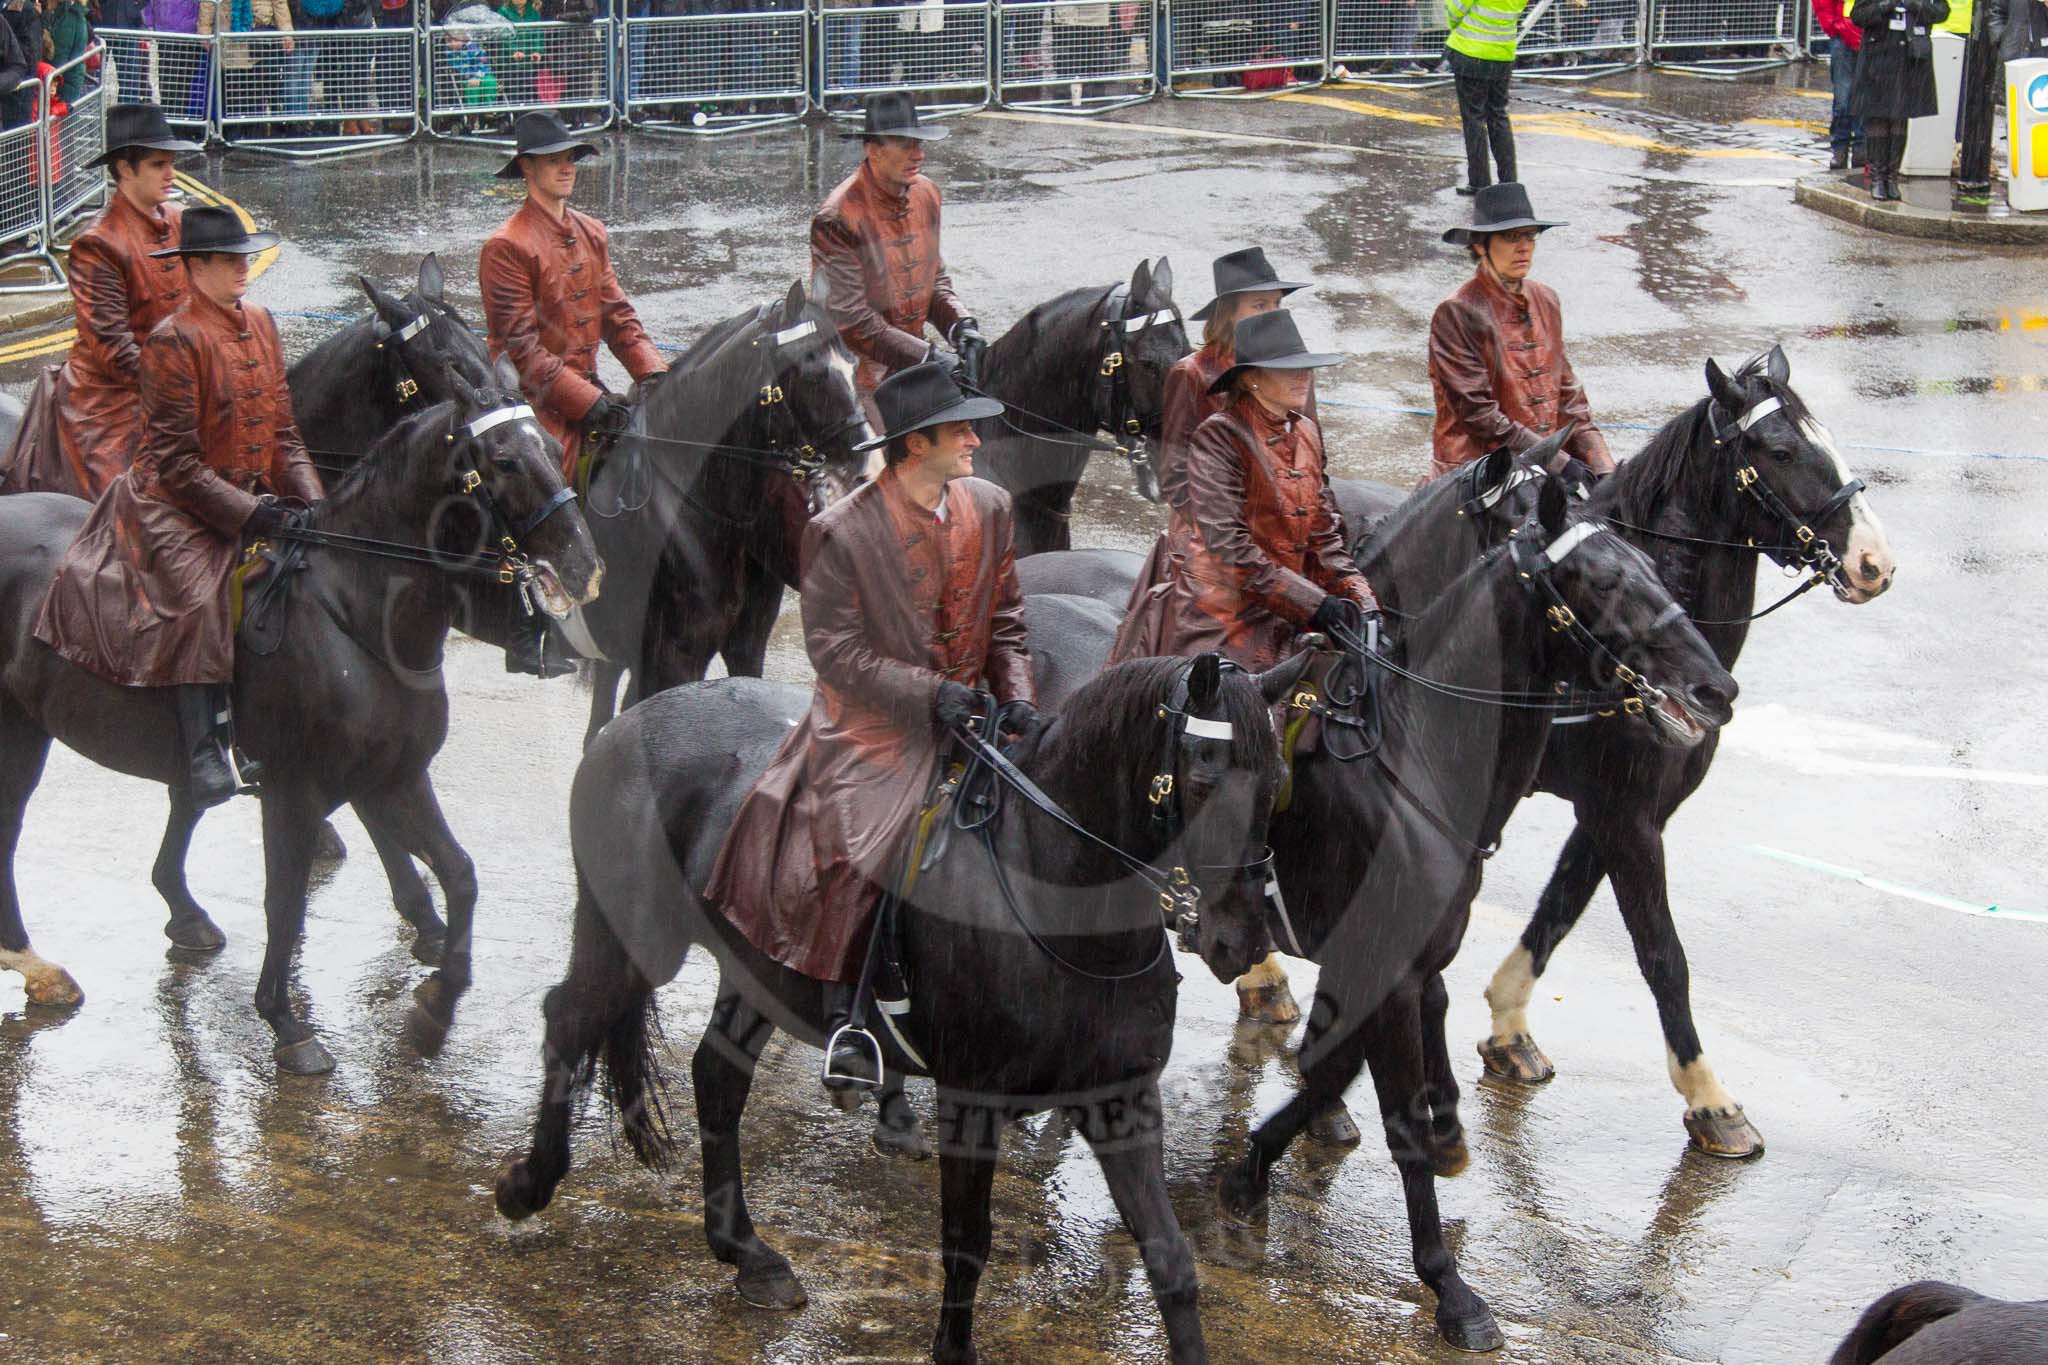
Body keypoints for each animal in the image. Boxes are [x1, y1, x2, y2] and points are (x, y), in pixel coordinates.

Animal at [0, 378, 598, 1072]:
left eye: (552, 445)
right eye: (503, 460)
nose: (585, 565)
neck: (358, 618)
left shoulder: (393, 778)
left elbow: (459, 875)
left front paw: (435, 1007)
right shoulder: (296, 790)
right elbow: (284, 902)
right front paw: (286, 1022)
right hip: (17, 734)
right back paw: (36, 963)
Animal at [493, 654, 1294, 1358]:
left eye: (1279, 783)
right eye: (1202, 772)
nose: (1242, 937)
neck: (1059, 899)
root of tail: (630, 721)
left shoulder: (1122, 1100)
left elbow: (1171, 1261)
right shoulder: (972, 1103)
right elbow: (967, 1245)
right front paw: (952, 1350)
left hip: (758, 971)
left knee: (716, 1077)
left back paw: (748, 1252)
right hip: (632, 940)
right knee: (568, 1019)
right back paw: (529, 1184)